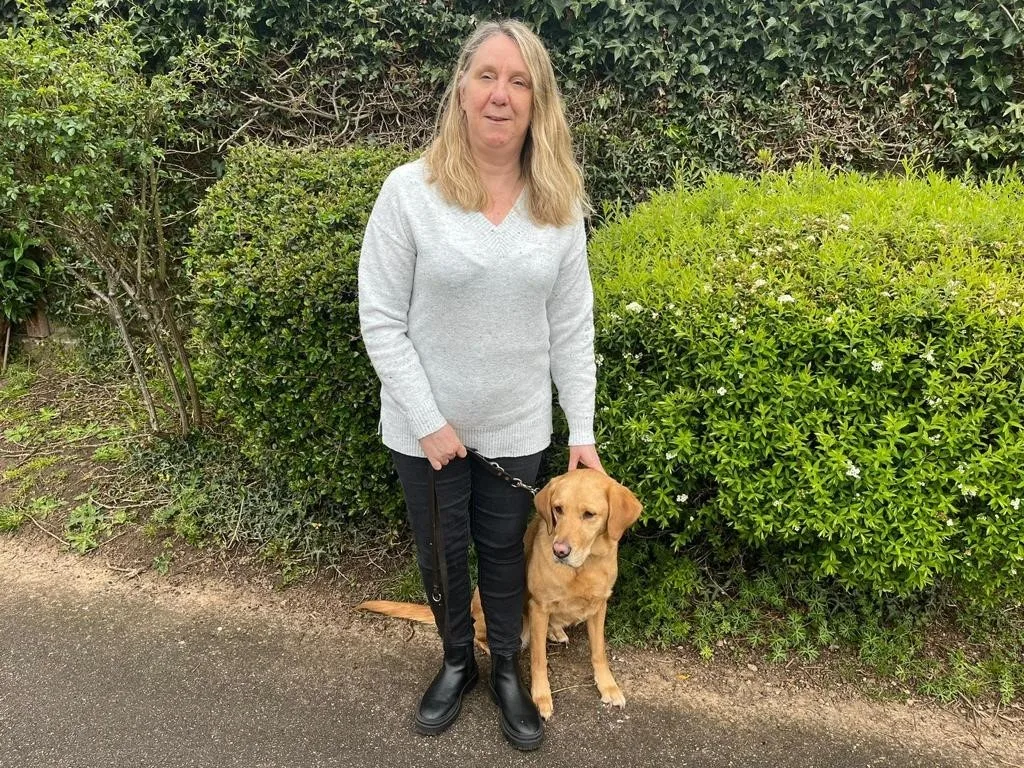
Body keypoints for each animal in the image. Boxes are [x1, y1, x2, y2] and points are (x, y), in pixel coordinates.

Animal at [360, 468, 638, 720]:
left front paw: (608, 686)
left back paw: (556, 631)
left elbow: (599, 652)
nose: (559, 551)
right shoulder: (539, 608)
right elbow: (539, 659)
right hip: (501, 617)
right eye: (558, 509)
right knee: (478, 634)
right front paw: (541, 697)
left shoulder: (599, 606)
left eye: (589, 514)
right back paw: (491, 648)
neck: (582, 568)